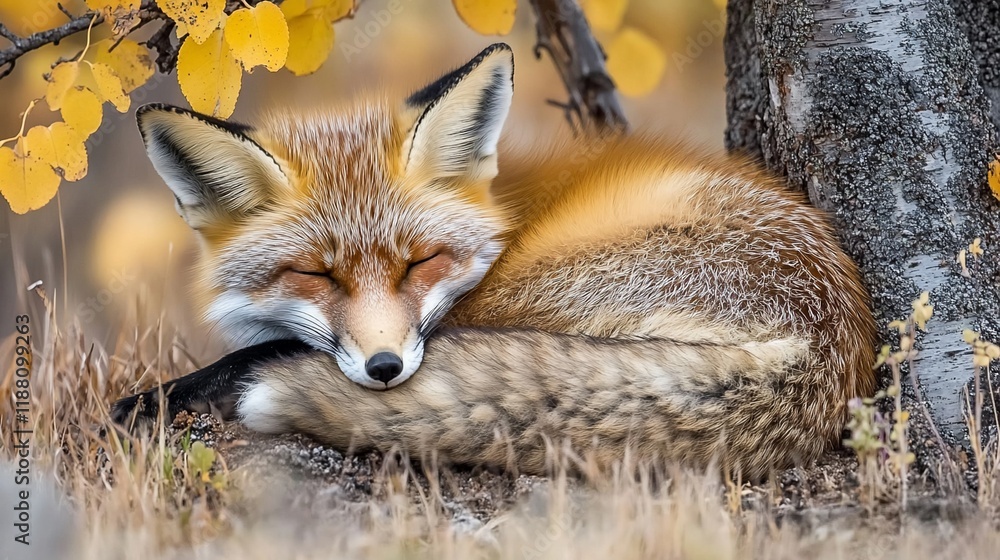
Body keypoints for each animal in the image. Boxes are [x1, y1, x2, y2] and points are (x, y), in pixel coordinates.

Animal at [112, 43, 876, 479]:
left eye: (419, 262)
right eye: (316, 274)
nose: (384, 368)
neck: (504, 213)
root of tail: (829, 341)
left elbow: (254, 351)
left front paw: (156, 398)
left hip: (527, 294)